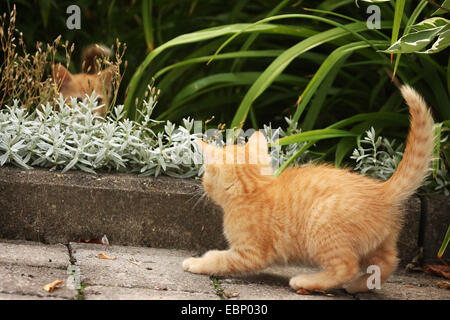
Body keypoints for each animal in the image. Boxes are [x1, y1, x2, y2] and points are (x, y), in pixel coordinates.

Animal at [184, 84, 436, 292]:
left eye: (206, 174)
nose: (202, 183)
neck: (253, 189)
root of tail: (382, 190)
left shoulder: (251, 252)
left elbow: (221, 259)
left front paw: (197, 262)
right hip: (379, 242)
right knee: (388, 261)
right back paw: (360, 286)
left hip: (322, 226)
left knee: (346, 266)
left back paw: (308, 281)